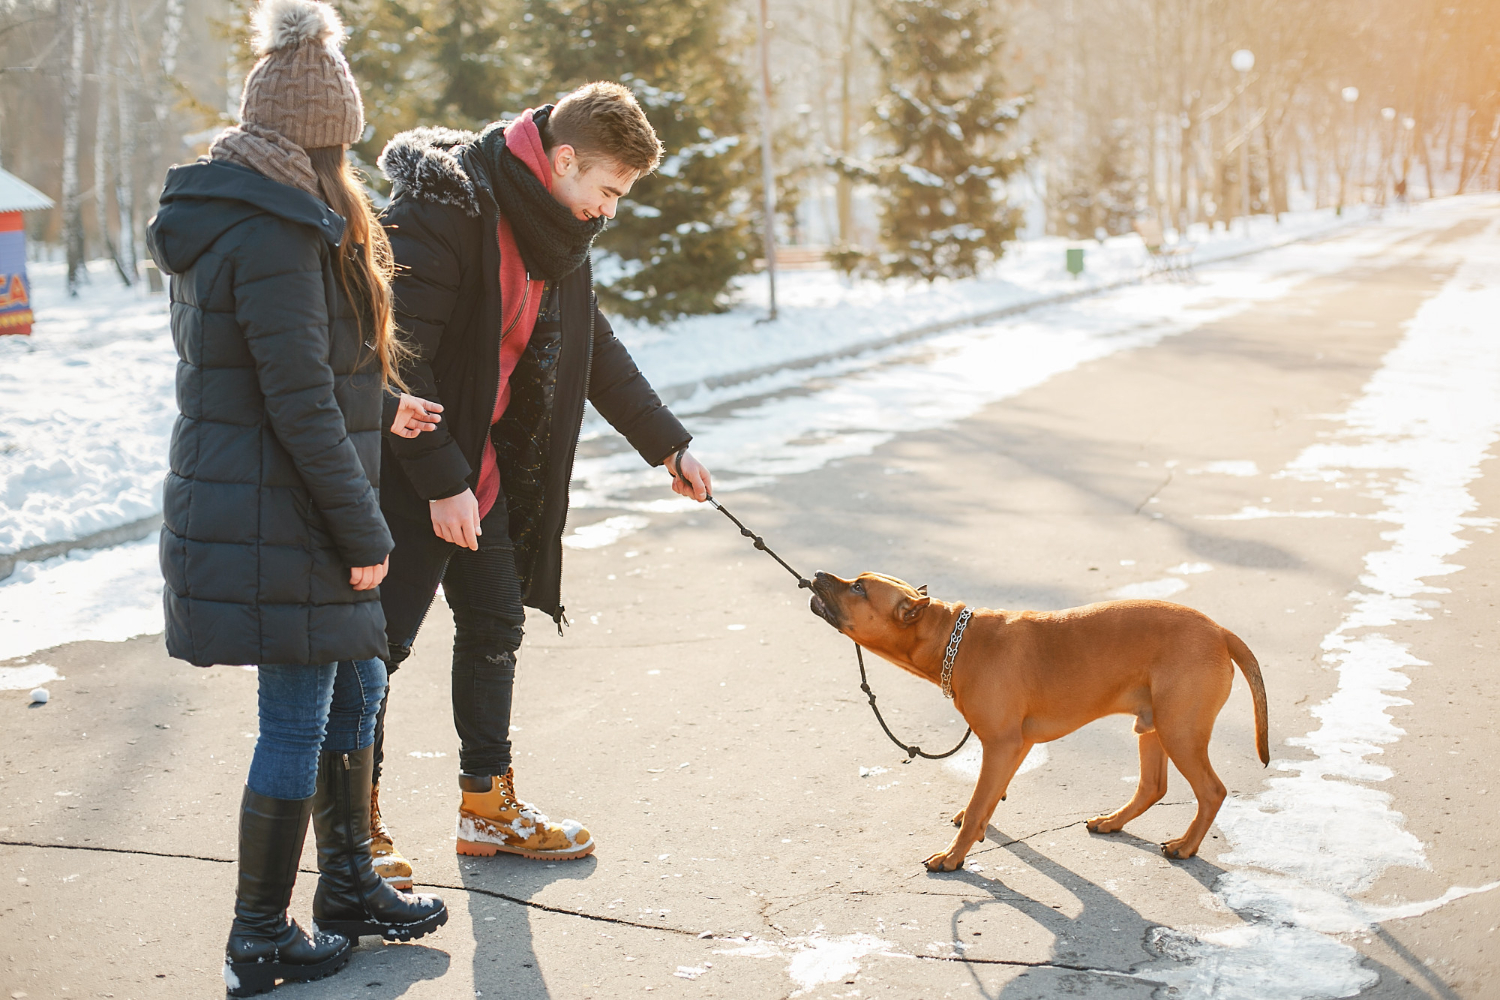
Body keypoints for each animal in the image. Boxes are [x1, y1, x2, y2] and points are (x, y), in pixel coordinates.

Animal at [810, 575, 1266, 869]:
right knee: (1153, 787)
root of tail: (1220, 631)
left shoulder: (1001, 744)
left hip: (1180, 731)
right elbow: (987, 798)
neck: (953, 638)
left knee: (1211, 791)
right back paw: (1113, 822)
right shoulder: (1014, 744)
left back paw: (1186, 847)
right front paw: (976, 827)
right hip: (1153, 726)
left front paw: (954, 856)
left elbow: (980, 802)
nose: (816, 574)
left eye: (858, 588)